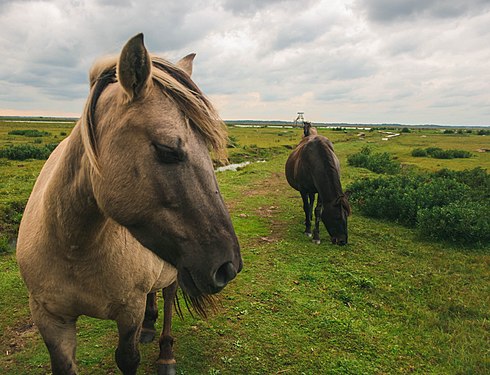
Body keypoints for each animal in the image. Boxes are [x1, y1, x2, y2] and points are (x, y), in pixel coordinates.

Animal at [16, 33, 242, 375]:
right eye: (167, 150)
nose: (228, 267)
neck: (73, 246)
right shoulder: (49, 318)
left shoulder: (128, 312)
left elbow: (128, 358)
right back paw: (149, 328)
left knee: (168, 297)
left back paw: (165, 353)